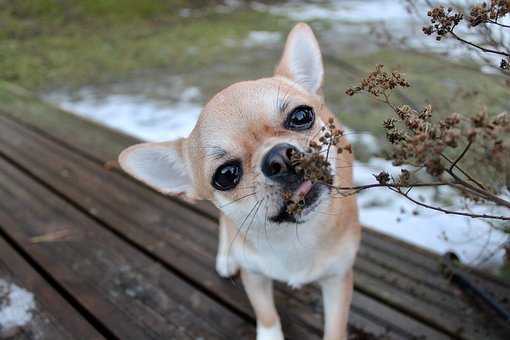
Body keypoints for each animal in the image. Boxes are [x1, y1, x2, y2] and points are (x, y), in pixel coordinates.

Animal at [119, 23, 360, 340]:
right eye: (225, 175)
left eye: (301, 116)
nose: (280, 158)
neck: (294, 236)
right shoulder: (254, 276)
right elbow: (266, 313)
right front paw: (270, 336)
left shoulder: (338, 280)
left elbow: (335, 327)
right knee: (226, 224)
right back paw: (226, 257)